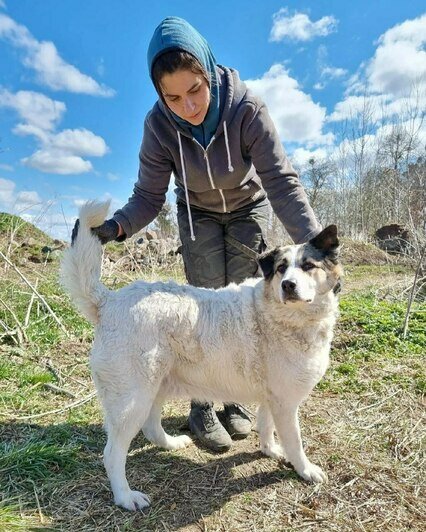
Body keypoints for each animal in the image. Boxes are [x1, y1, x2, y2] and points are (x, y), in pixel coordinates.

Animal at [60, 201, 342, 512]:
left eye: (308, 266)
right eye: (281, 269)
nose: (288, 285)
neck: (279, 315)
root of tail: (109, 301)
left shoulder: (273, 398)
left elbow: (267, 427)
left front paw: (270, 450)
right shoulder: (286, 403)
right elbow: (296, 442)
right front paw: (305, 469)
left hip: (153, 388)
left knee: (151, 427)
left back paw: (171, 444)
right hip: (131, 401)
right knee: (112, 454)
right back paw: (125, 497)